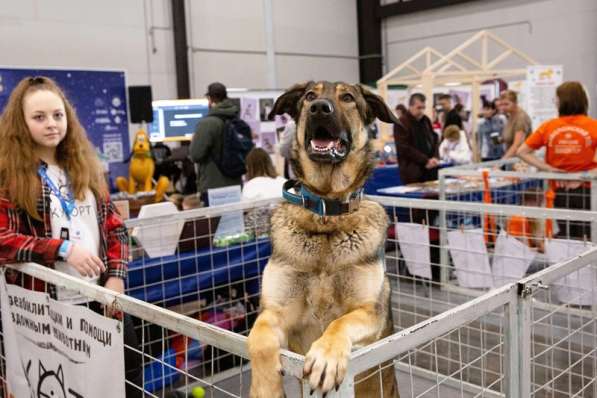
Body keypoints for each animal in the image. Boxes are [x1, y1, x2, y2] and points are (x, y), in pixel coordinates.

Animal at [247, 82, 400, 396]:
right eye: (309, 97)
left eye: (348, 98)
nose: (319, 108)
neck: (327, 214)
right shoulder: (276, 311)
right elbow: (259, 335)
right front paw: (265, 387)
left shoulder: (371, 312)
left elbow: (341, 322)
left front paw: (326, 356)